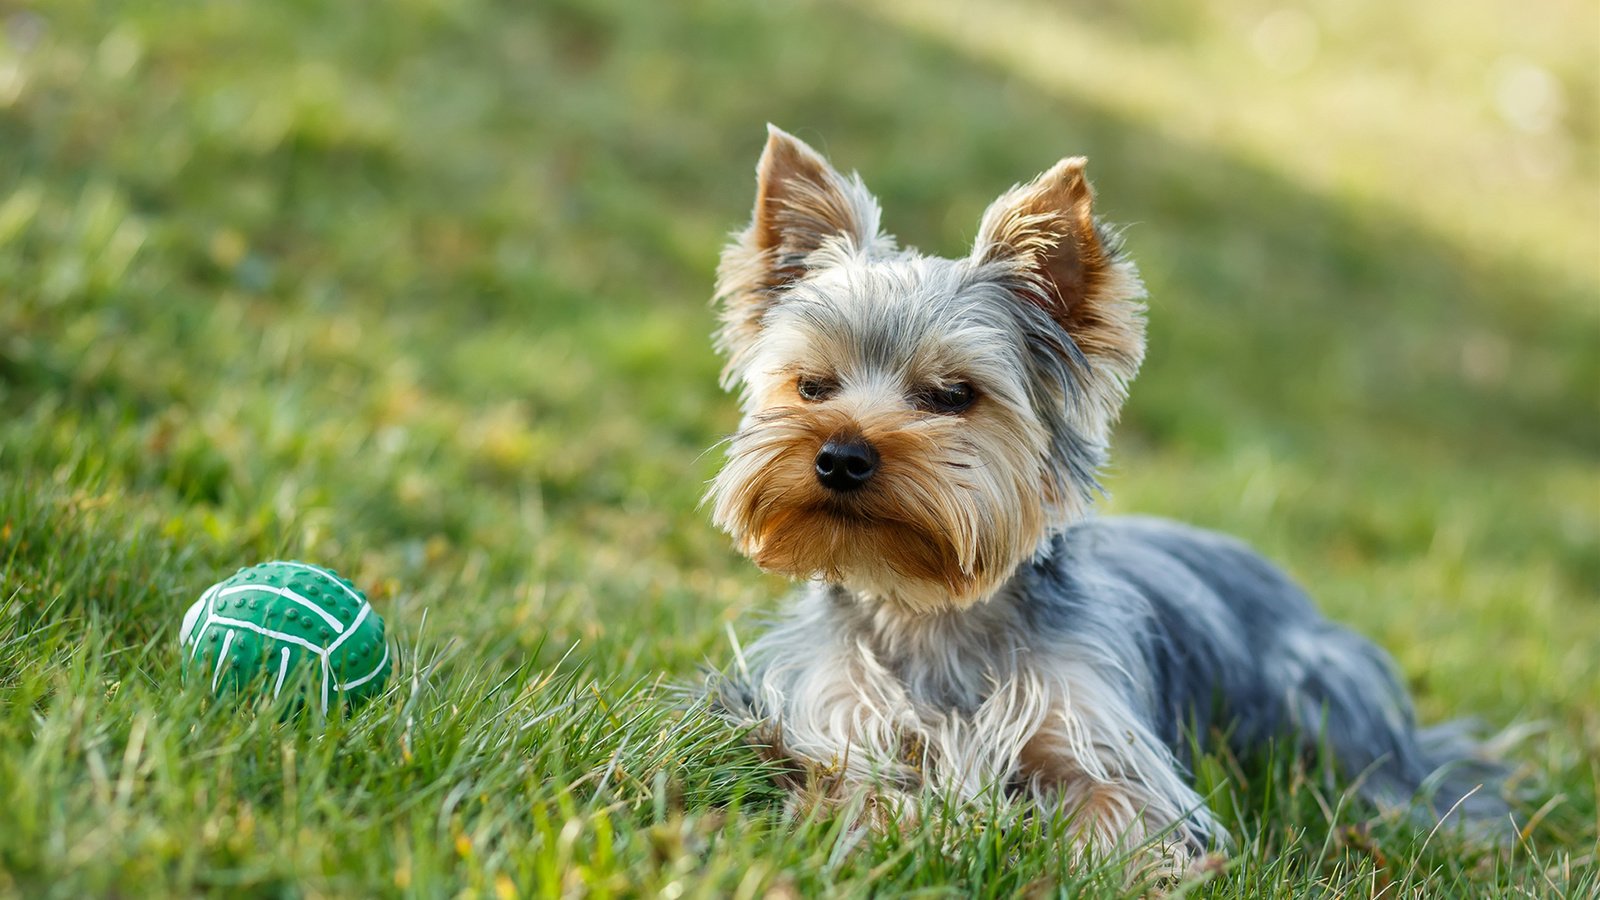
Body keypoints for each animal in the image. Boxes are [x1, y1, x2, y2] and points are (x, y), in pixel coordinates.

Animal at [704, 124, 1510, 871]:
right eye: (813, 386)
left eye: (952, 395)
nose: (840, 457)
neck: (929, 609)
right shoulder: (831, 715)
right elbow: (850, 784)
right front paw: (916, 829)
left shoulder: (1106, 741)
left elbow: (1116, 812)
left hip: (1320, 693)